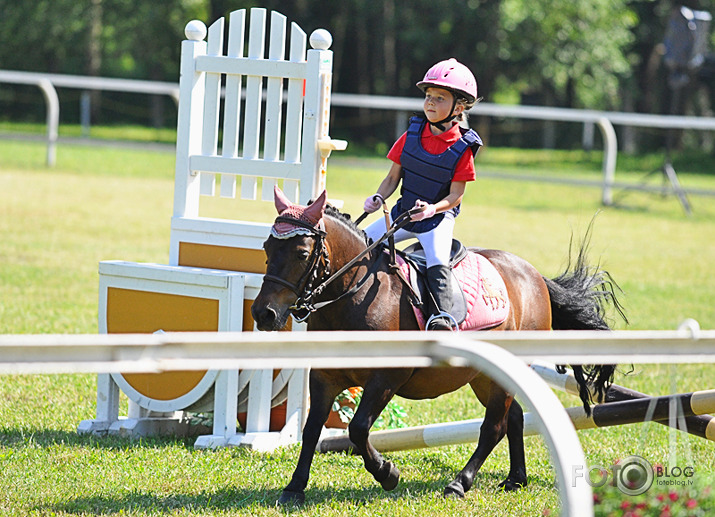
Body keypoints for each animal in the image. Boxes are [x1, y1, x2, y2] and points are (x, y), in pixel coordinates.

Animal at [253, 188, 628, 504]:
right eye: (267, 249)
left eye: (302, 253)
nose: (263, 313)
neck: (352, 295)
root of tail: (533, 275)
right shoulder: (324, 376)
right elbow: (311, 430)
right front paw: (294, 488)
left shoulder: (386, 378)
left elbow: (358, 429)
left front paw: (388, 473)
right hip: (485, 376)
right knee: (514, 418)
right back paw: (515, 479)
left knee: (493, 427)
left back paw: (460, 482)